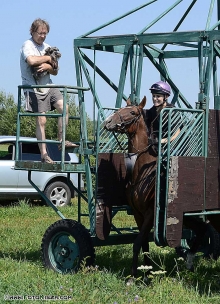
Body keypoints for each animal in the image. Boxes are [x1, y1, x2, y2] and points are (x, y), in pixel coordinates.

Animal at [104, 96, 209, 280]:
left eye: (133, 112)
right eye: (122, 108)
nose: (108, 122)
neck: (142, 172)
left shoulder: (150, 214)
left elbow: (137, 242)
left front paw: (133, 277)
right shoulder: (138, 213)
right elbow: (144, 243)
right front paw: (146, 273)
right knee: (201, 228)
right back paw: (189, 261)